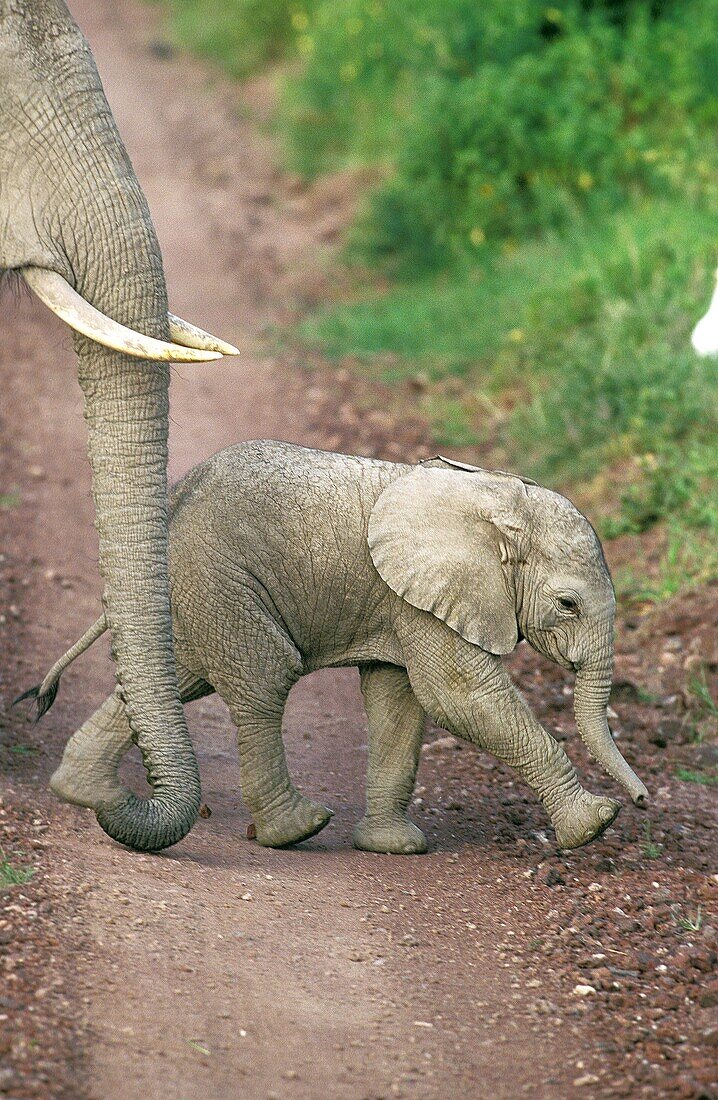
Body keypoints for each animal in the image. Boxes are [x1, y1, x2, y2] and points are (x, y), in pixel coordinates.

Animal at [30, 442, 646, 853]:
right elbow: (462, 698)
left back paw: (88, 793)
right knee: (261, 678)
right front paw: (595, 824)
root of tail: (177, 493)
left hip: (195, 589)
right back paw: (297, 829)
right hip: (221, 577)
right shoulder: (421, 598)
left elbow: (401, 703)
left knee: (181, 678)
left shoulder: (403, 600)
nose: (642, 800)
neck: (494, 498)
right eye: (567, 605)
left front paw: (393, 847)